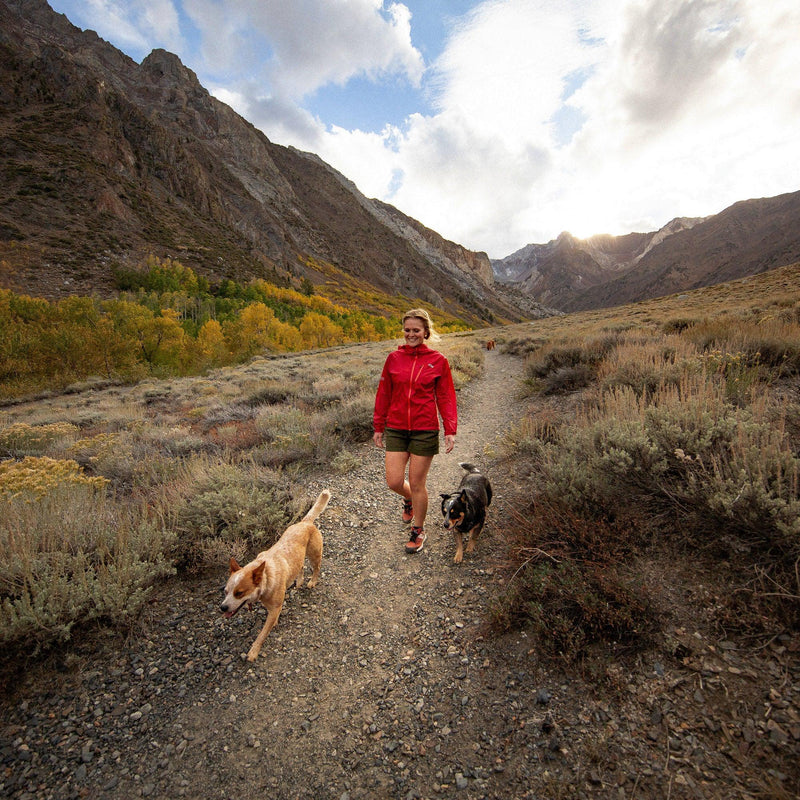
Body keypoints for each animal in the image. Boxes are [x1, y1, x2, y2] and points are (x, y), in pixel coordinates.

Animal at [220, 488, 330, 664]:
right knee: (300, 567)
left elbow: (262, 634)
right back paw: (299, 581)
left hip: (314, 554)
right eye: (225, 591)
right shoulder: (271, 606)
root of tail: (305, 522)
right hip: (299, 557)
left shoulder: (273, 608)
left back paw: (312, 581)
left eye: (239, 593)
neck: (266, 577)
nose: (222, 607)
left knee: (316, 568)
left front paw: (253, 652)